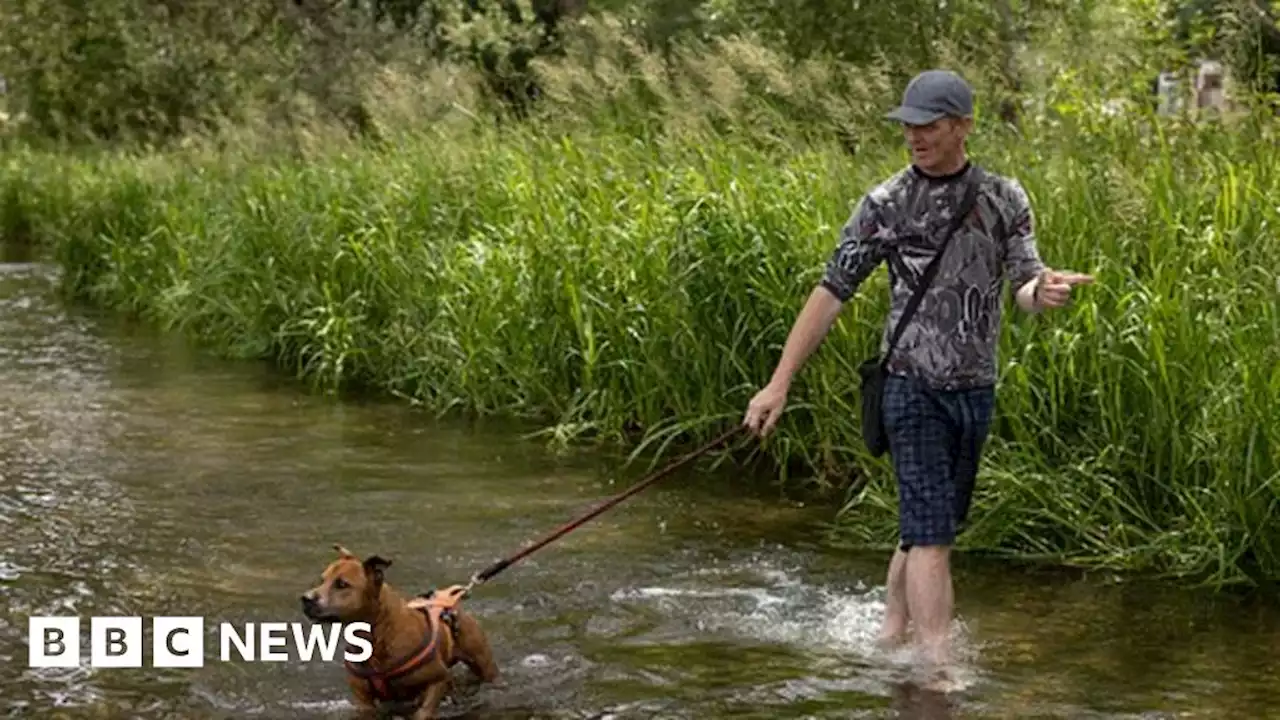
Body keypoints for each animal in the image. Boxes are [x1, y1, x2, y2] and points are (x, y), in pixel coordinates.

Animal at [300, 540, 499, 712]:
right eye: (322, 580)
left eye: (342, 584)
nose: (306, 598)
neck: (378, 635)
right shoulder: (363, 699)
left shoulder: (437, 680)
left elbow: (424, 711)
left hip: (483, 663)